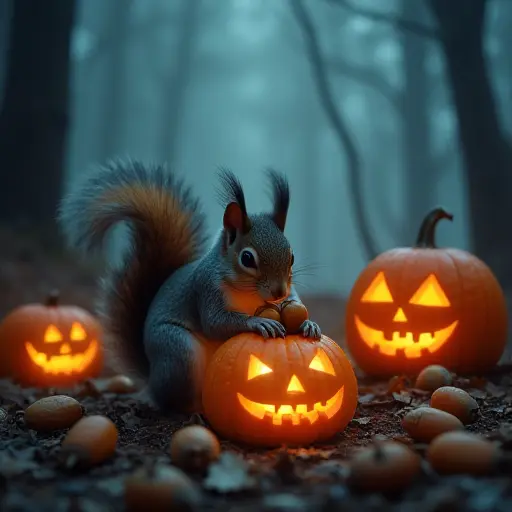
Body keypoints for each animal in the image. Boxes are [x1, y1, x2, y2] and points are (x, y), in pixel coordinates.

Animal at [57, 160, 320, 412]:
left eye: (292, 256)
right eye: (247, 258)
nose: (278, 291)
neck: (250, 293)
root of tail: (152, 379)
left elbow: (294, 302)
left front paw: (308, 324)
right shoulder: (206, 290)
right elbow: (215, 323)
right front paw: (258, 322)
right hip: (178, 351)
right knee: (172, 402)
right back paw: (195, 411)